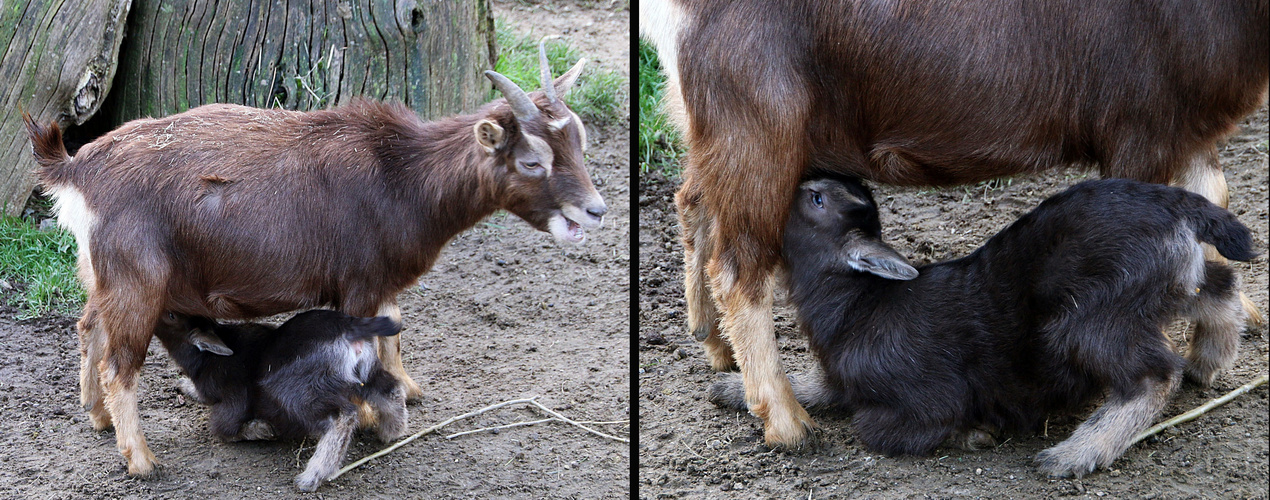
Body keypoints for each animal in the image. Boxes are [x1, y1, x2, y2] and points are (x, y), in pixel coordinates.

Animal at [21, 46, 604, 477]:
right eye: (532, 161)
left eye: (580, 141)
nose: (594, 210)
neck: (402, 174)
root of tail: (77, 169)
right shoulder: (360, 282)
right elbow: (372, 338)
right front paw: (369, 414)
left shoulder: (380, 281)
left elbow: (393, 331)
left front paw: (408, 390)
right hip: (139, 279)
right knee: (120, 363)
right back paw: (142, 461)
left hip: (102, 273)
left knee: (89, 327)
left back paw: (97, 417)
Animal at [645, 0, 1270, 446]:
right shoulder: (1145, 130)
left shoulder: (1192, 131)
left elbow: (1213, 200)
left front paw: (1227, 333)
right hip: (757, 129)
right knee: (739, 265)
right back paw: (785, 423)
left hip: (716, 133)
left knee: (693, 203)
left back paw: (714, 345)